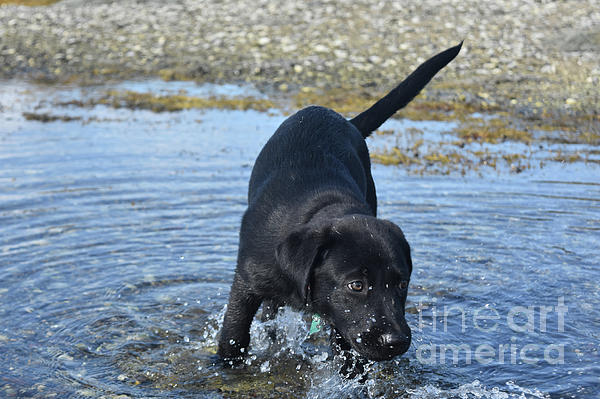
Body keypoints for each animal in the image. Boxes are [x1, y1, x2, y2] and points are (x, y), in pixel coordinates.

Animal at [218, 43, 462, 366]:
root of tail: (344, 120)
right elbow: (233, 335)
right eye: (356, 285)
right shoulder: (246, 282)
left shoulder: (345, 325)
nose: (396, 341)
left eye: (402, 284)